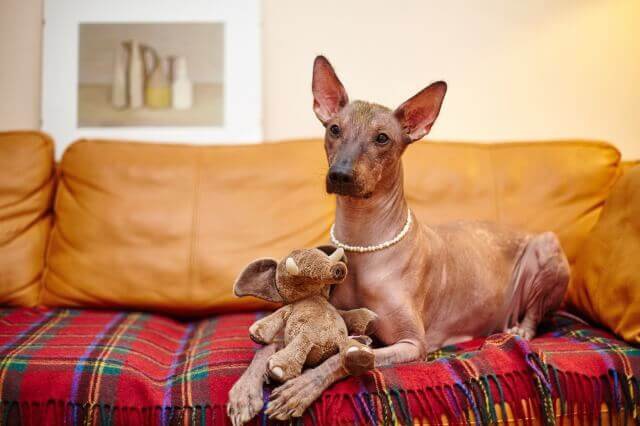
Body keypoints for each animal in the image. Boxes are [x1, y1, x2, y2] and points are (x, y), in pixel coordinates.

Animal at [226, 55, 568, 422]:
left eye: (382, 138)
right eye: (334, 129)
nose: (340, 174)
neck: (363, 242)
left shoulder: (412, 345)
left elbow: (343, 357)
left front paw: (300, 388)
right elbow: (266, 348)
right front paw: (245, 390)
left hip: (546, 245)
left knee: (535, 312)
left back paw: (522, 331)